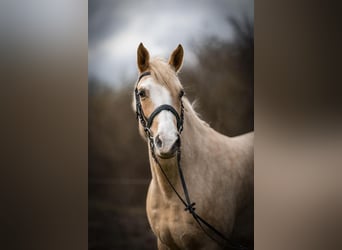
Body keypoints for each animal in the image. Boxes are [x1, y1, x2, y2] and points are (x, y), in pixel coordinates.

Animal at [134, 43, 254, 250]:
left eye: (181, 92)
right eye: (142, 93)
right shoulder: (164, 244)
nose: (168, 142)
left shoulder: (211, 245)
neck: (170, 194)